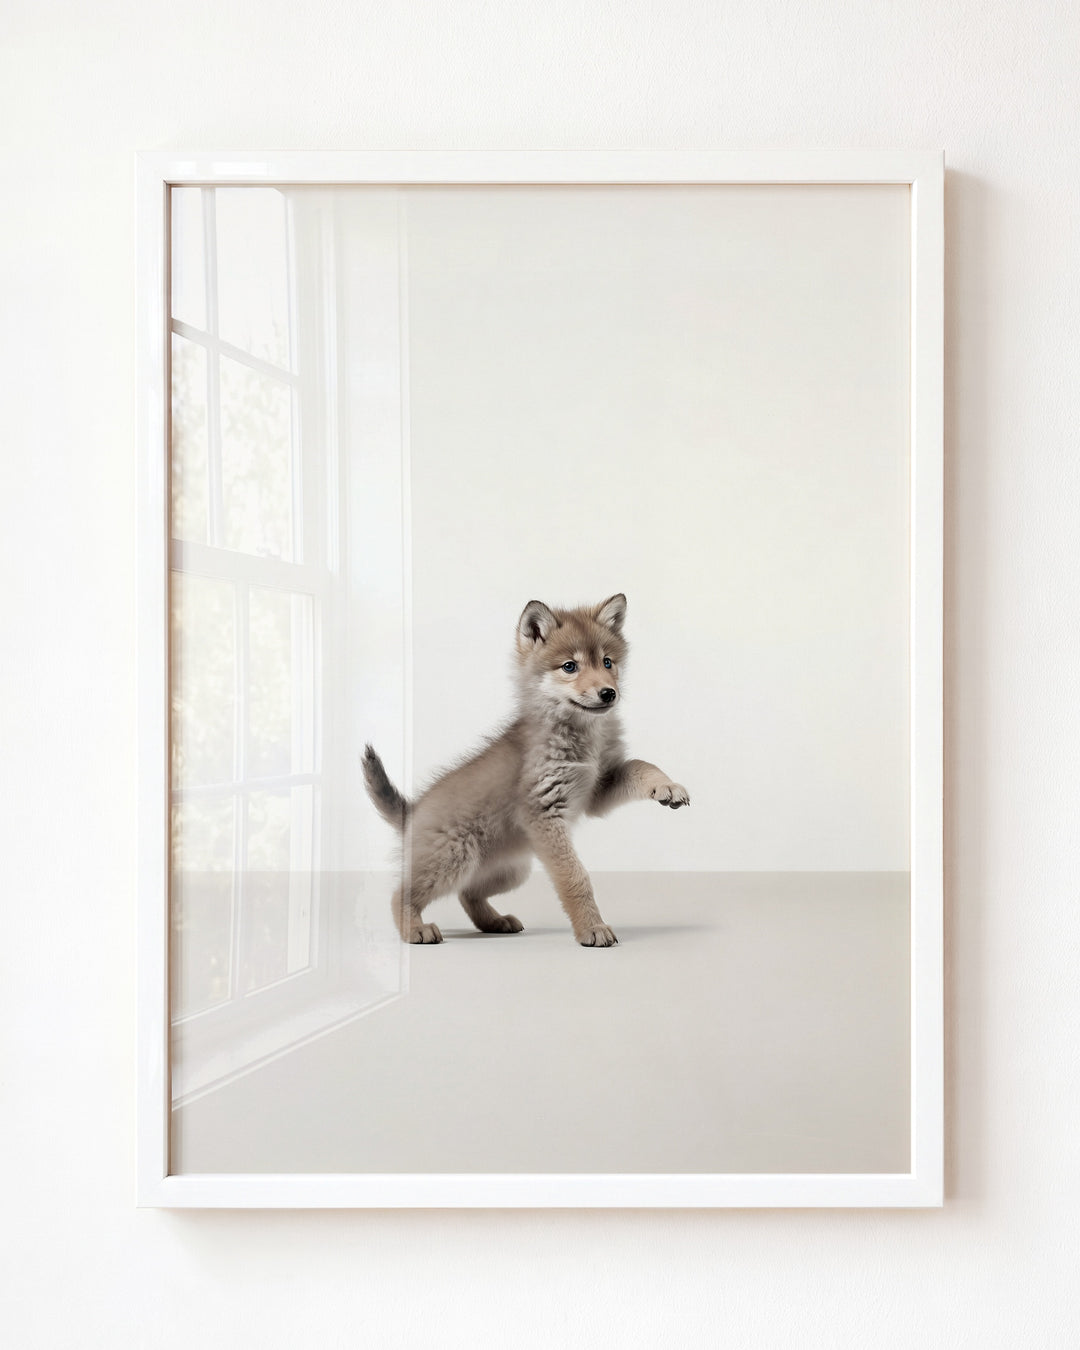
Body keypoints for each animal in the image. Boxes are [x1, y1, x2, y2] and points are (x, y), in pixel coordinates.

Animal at [362, 593, 690, 947]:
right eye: (570, 666)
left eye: (607, 662)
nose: (608, 693)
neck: (582, 736)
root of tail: (412, 811)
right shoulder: (545, 814)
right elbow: (576, 877)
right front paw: (592, 927)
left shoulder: (598, 789)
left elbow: (641, 765)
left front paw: (667, 786)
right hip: (454, 858)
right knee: (401, 894)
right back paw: (415, 929)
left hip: (510, 870)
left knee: (468, 893)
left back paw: (494, 921)